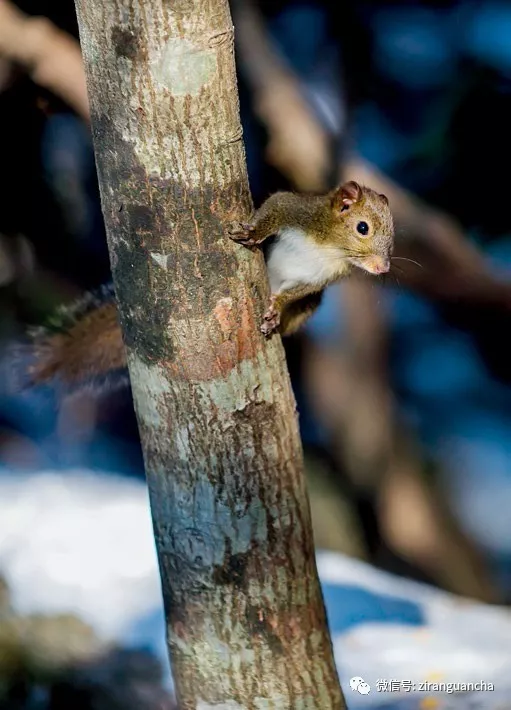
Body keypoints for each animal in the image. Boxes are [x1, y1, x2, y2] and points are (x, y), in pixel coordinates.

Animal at [24, 184, 394, 392]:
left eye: (393, 239)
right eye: (362, 227)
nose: (384, 267)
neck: (330, 247)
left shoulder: (320, 280)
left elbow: (294, 293)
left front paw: (275, 308)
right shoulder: (297, 211)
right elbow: (274, 208)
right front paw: (254, 232)